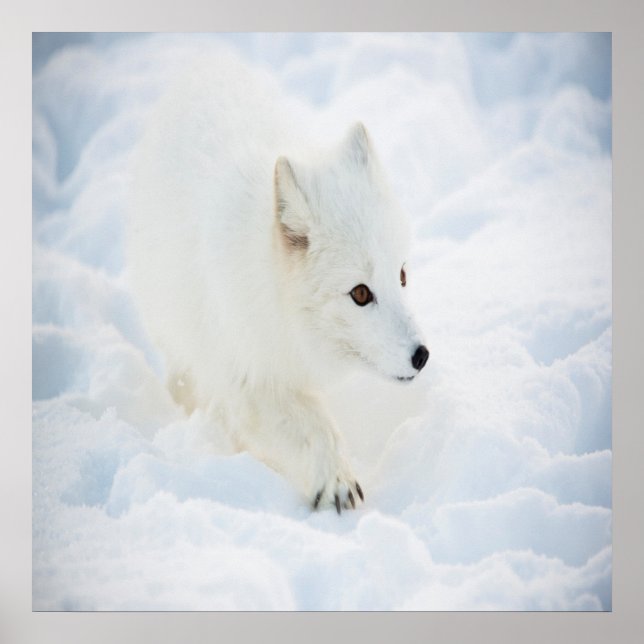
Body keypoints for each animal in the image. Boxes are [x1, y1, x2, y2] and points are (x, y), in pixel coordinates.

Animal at [128, 56, 429, 513]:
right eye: (360, 294)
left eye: (402, 276)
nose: (421, 355)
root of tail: (206, 64)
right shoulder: (246, 378)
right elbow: (314, 425)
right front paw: (336, 480)